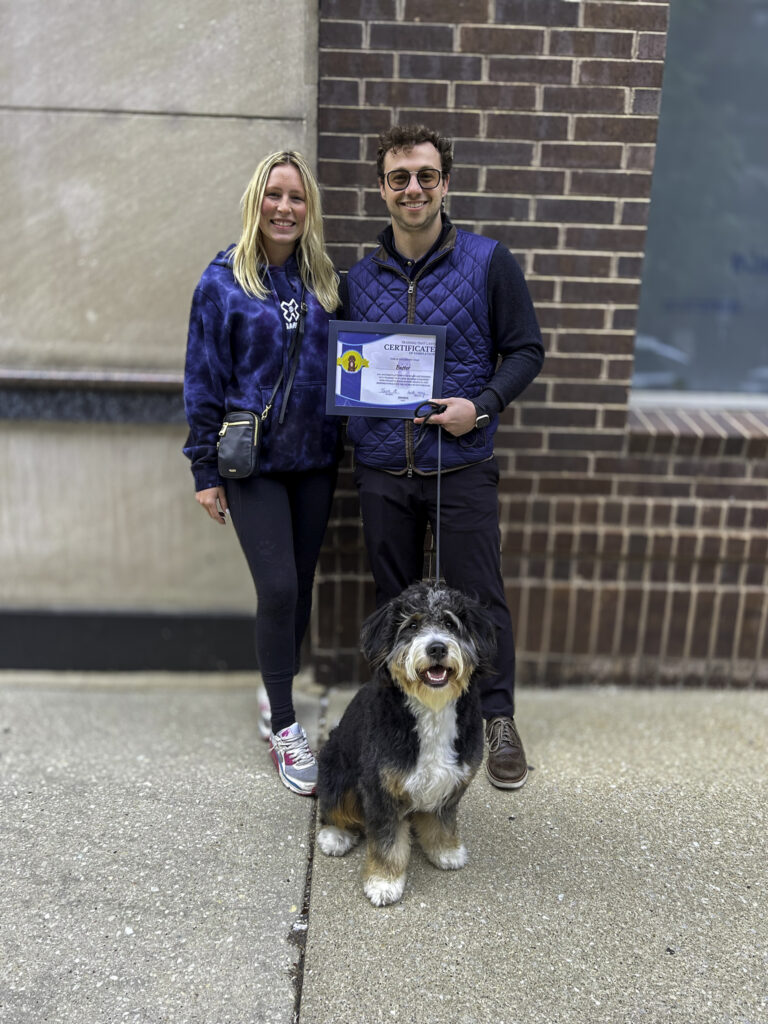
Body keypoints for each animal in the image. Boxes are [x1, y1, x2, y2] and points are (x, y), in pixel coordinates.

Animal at [315, 581, 495, 909]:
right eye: (412, 625)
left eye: (451, 623)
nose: (436, 647)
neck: (431, 710)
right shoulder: (380, 788)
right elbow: (386, 843)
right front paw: (384, 882)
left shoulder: (451, 781)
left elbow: (443, 820)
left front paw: (445, 850)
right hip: (336, 769)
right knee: (334, 807)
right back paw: (335, 835)